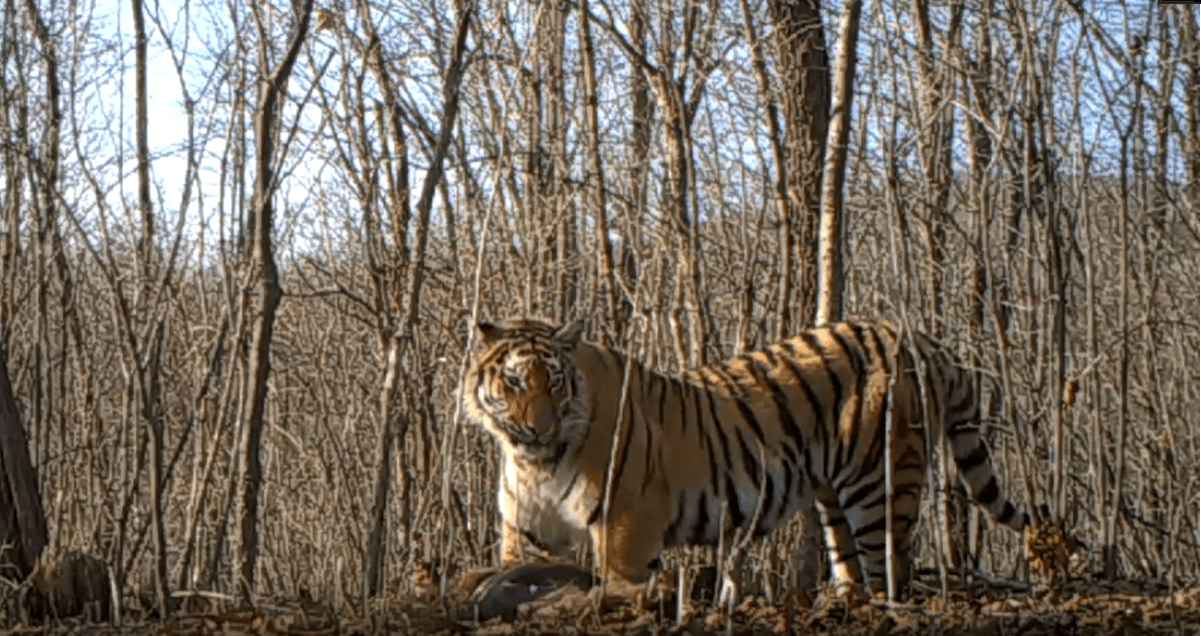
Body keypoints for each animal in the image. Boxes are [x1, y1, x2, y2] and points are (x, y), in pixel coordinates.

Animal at [461, 316, 1032, 595]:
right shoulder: (530, 532)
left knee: (893, 568)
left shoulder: (626, 526)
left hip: (882, 483)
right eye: (515, 381)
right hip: (834, 497)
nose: (539, 428)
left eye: (555, 384)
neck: (534, 462)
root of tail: (917, 336)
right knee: (852, 566)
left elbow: (619, 581)